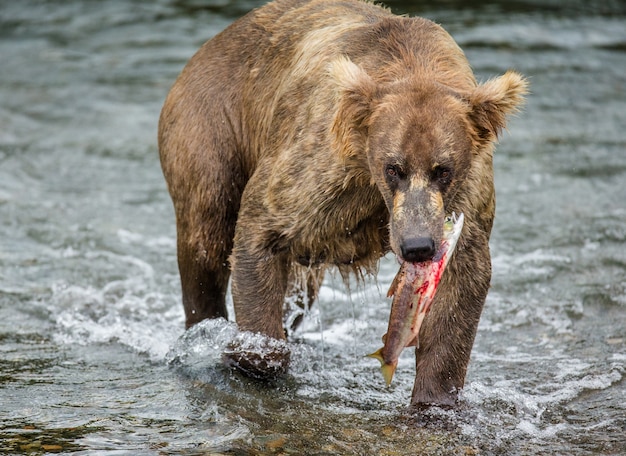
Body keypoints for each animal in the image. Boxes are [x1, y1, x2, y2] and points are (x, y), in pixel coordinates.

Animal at [156, 0, 520, 408]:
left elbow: (460, 287)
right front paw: (252, 354)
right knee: (206, 238)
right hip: (210, 127)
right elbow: (260, 230)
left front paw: (434, 398)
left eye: (443, 170)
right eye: (393, 167)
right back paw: (204, 331)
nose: (418, 246)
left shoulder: (466, 197)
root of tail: (205, 48)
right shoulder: (319, 168)